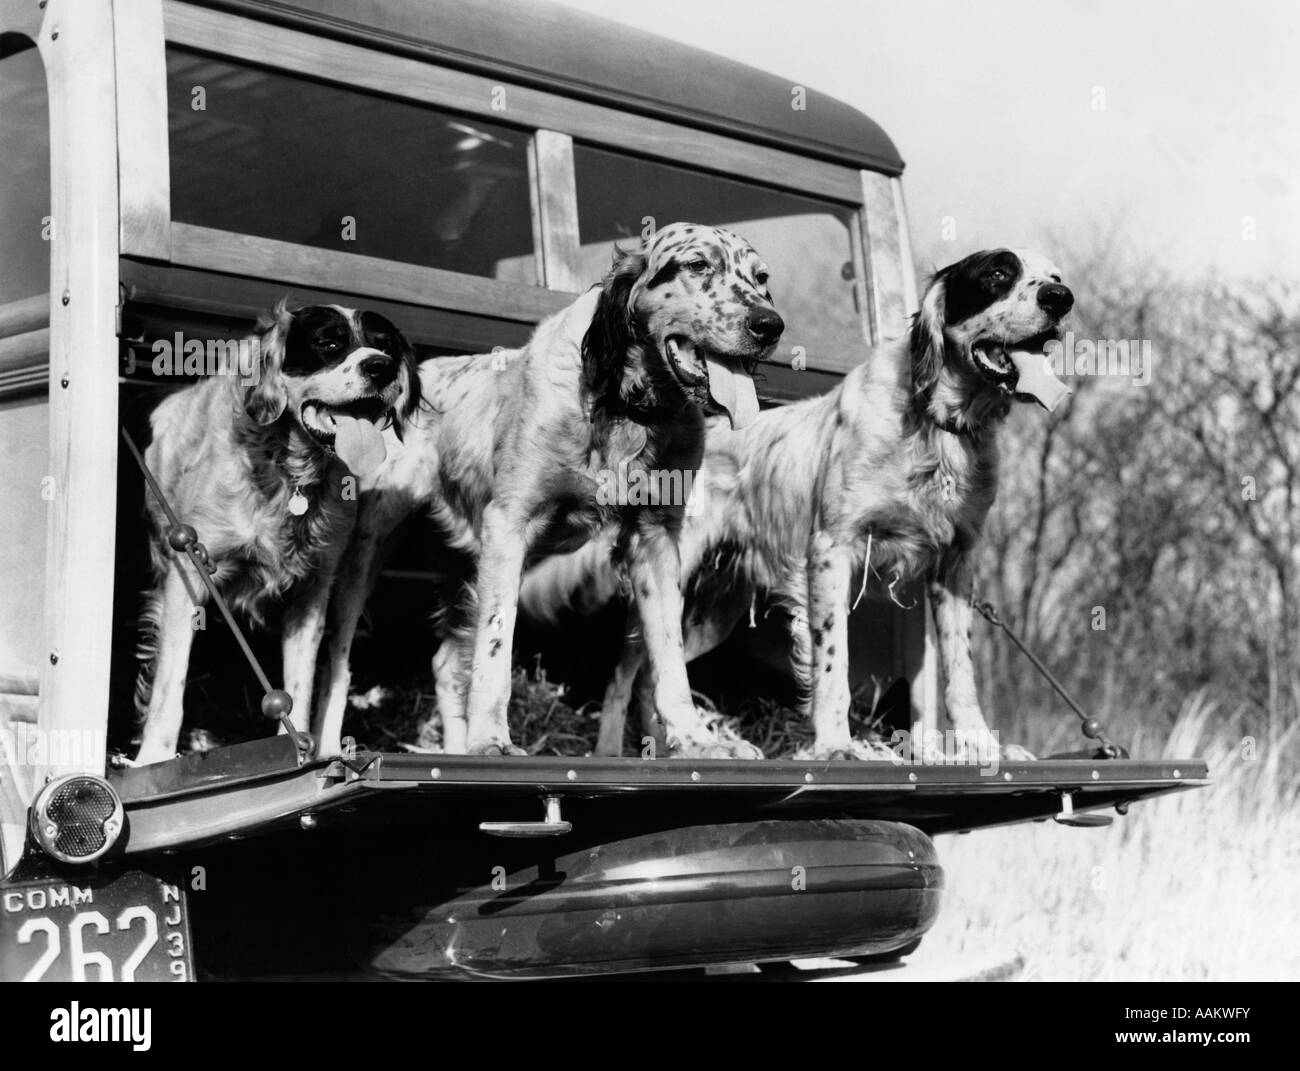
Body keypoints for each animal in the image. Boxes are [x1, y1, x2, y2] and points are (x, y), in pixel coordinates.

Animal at [132, 305, 418, 764]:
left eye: (387, 346)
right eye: (328, 343)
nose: (381, 367)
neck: (289, 477)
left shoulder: (312, 590)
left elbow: (300, 686)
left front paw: (300, 754)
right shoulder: (187, 573)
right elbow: (169, 684)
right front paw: (154, 757)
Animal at [522, 246, 1071, 759]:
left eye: (1056, 277)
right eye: (998, 274)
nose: (1060, 299)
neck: (937, 429)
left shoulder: (954, 565)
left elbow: (961, 675)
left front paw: (984, 748)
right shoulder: (832, 550)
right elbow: (833, 664)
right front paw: (835, 744)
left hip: (713, 609)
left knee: (655, 675)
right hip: (664, 578)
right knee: (625, 676)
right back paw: (612, 750)